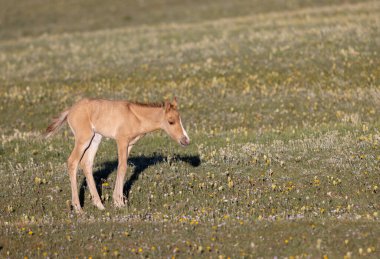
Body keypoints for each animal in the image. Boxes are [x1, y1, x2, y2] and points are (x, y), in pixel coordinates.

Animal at [45, 97, 190, 213]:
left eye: (180, 119)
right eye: (171, 121)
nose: (186, 140)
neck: (136, 117)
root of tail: (70, 110)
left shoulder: (129, 145)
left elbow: (122, 168)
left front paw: (118, 202)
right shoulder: (121, 141)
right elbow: (123, 167)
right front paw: (119, 203)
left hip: (95, 139)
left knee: (86, 164)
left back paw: (99, 205)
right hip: (83, 139)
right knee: (72, 162)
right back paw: (78, 208)